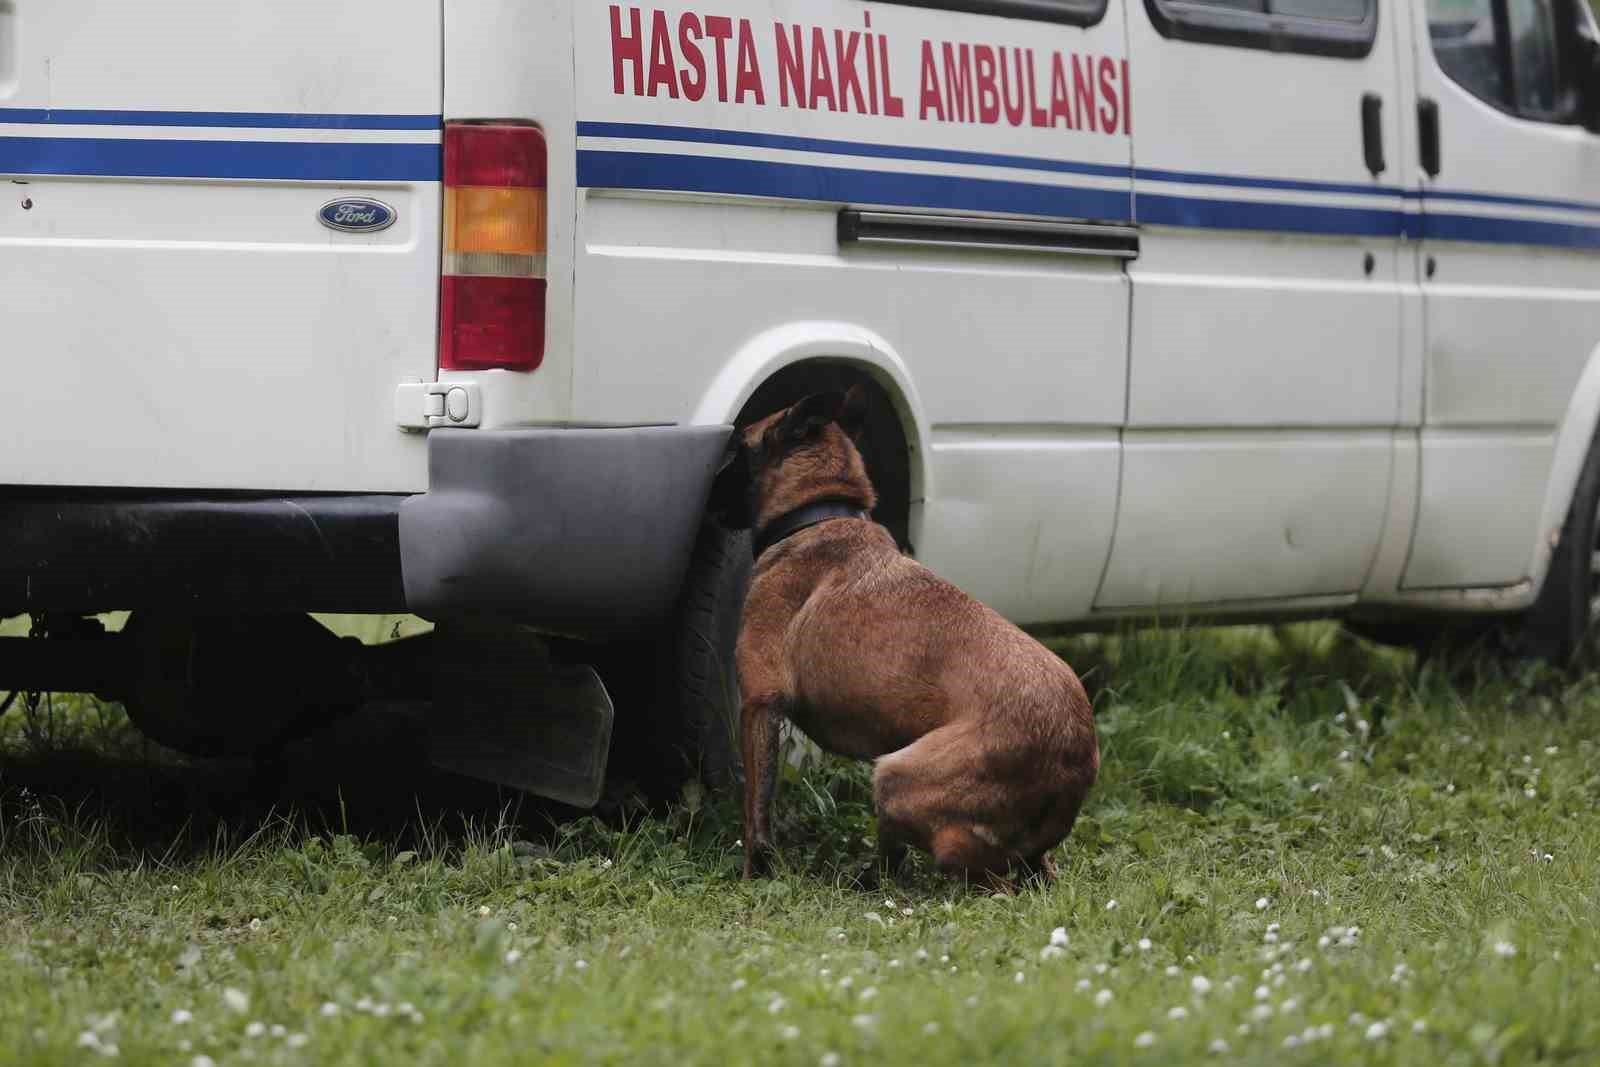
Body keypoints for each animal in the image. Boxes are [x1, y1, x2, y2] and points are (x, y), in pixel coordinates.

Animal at [716, 388, 1100, 889]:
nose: (709, 488)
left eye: (740, 447)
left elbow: (756, 814)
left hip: (896, 778)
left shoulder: (761, 703)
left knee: (975, 872)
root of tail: (1077, 753)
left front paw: (754, 874)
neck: (819, 517)